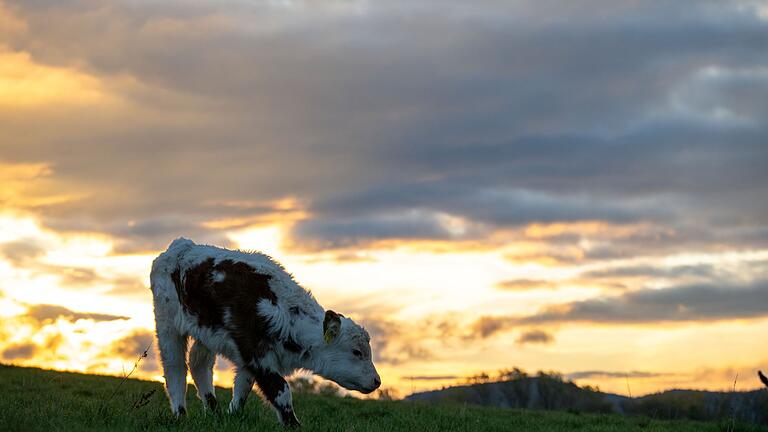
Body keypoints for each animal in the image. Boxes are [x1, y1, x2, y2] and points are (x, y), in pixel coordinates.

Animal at [148, 238, 380, 426]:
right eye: (356, 352)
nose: (377, 381)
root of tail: (181, 245)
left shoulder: (249, 358)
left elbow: (242, 388)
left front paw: (232, 416)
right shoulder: (256, 353)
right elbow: (281, 390)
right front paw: (293, 425)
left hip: (205, 332)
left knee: (199, 364)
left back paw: (214, 413)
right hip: (167, 323)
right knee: (175, 368)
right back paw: (180, 414)